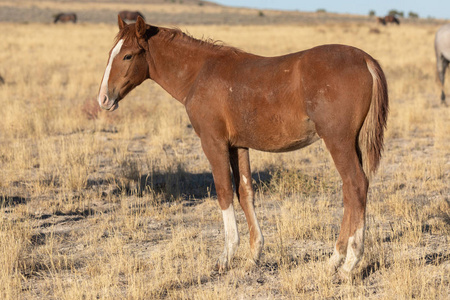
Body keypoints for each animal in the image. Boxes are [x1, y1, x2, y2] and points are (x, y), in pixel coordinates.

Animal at [96, 15, 388, 274]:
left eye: (128, 56)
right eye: (110, 53)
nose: (103, 99)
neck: (199, 73)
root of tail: (364, 59)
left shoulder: (213, 143)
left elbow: (224, 192)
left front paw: (226, 257)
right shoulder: (239, 146)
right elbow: (245, 192)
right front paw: (253, 255)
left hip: (338, 141)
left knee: (355, 185)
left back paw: (348, 263)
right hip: (350, 143)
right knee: (351, 191)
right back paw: (335, 260)